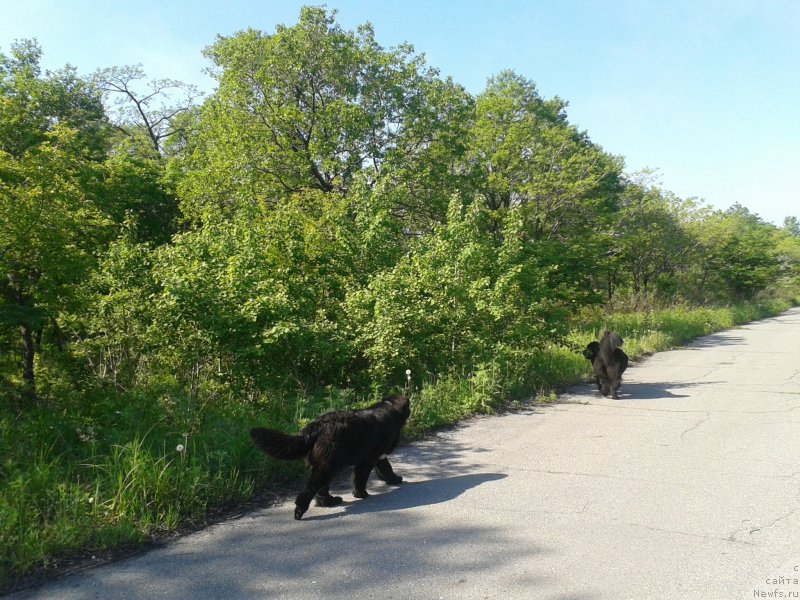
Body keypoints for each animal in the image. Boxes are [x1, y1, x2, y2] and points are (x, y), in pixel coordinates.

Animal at [252, 396, 412, 516]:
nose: (410, 410)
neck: (390, 409)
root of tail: (315, 427)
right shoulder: (368, 459)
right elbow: (360, 477)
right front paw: (360, 494)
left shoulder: (379, 456)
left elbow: (386, 468)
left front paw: (394, 479)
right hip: (328, 465)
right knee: (310, 488)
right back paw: (300, 510)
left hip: (325, 464)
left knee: (321, 489)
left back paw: (329, 501)